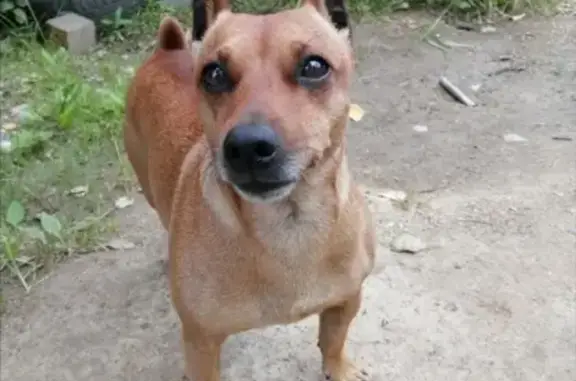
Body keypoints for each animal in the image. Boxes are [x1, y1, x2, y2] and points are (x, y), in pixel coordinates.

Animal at [124, 1, 376, 378]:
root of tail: (166, 52)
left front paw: (339, 368)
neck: (288, 228)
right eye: (213, 74)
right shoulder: (200, 343)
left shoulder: (347, 299)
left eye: (314, 66)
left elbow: (333, 338)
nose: (246, 146)